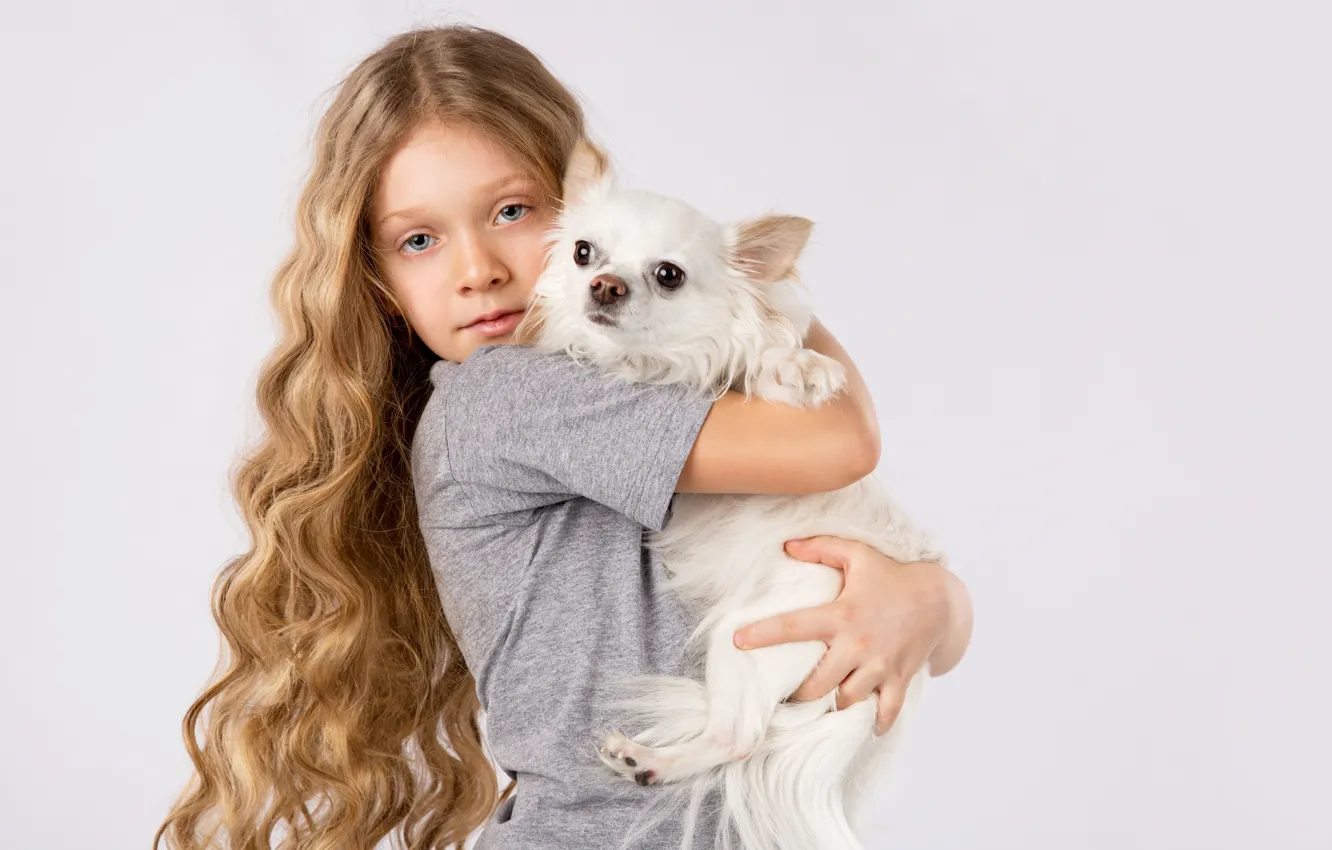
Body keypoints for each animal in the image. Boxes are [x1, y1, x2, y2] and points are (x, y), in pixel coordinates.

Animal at [519, 143, 948, 847]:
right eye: (583, 252)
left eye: (668, 275)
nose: (604, 285)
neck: (651, 365)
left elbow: (765, 368)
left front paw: (799, 369)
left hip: (749, 633)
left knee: (739, 736)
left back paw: (649, 760)